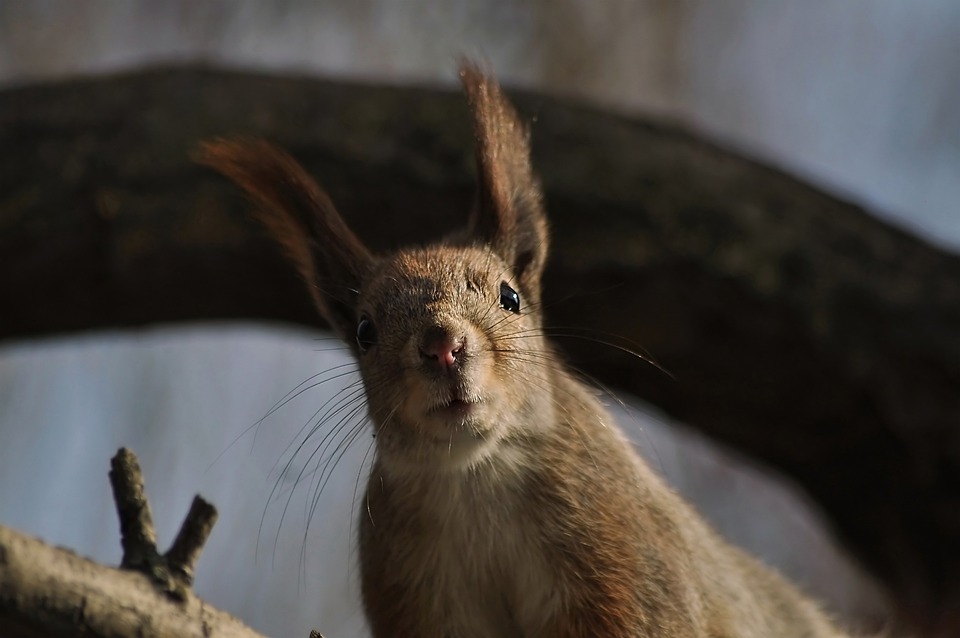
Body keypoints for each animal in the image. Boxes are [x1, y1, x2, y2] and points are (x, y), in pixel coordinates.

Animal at [199, 63, 852, 638]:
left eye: (510, 297)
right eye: (364, 331)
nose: (442, 346)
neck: (475, 477)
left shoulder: (624, 551)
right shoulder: (411, 586)